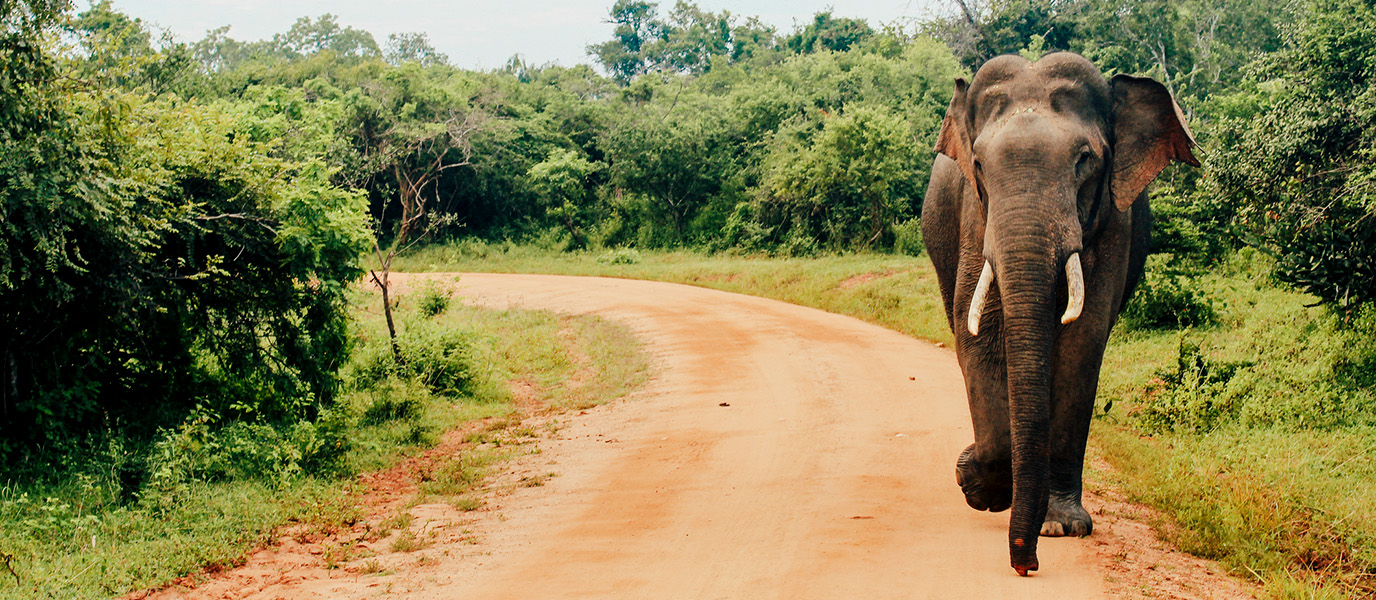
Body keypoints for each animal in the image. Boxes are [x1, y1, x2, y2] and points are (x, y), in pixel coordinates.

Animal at [919, 54, 1199, 577]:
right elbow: (980, 337)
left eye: (1084, 159)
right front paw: (981, 488)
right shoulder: (975, 215)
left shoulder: (1113, 222)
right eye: (980, 165)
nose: (1024, 565)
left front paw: (1060, 526)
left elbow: (1082, 345)